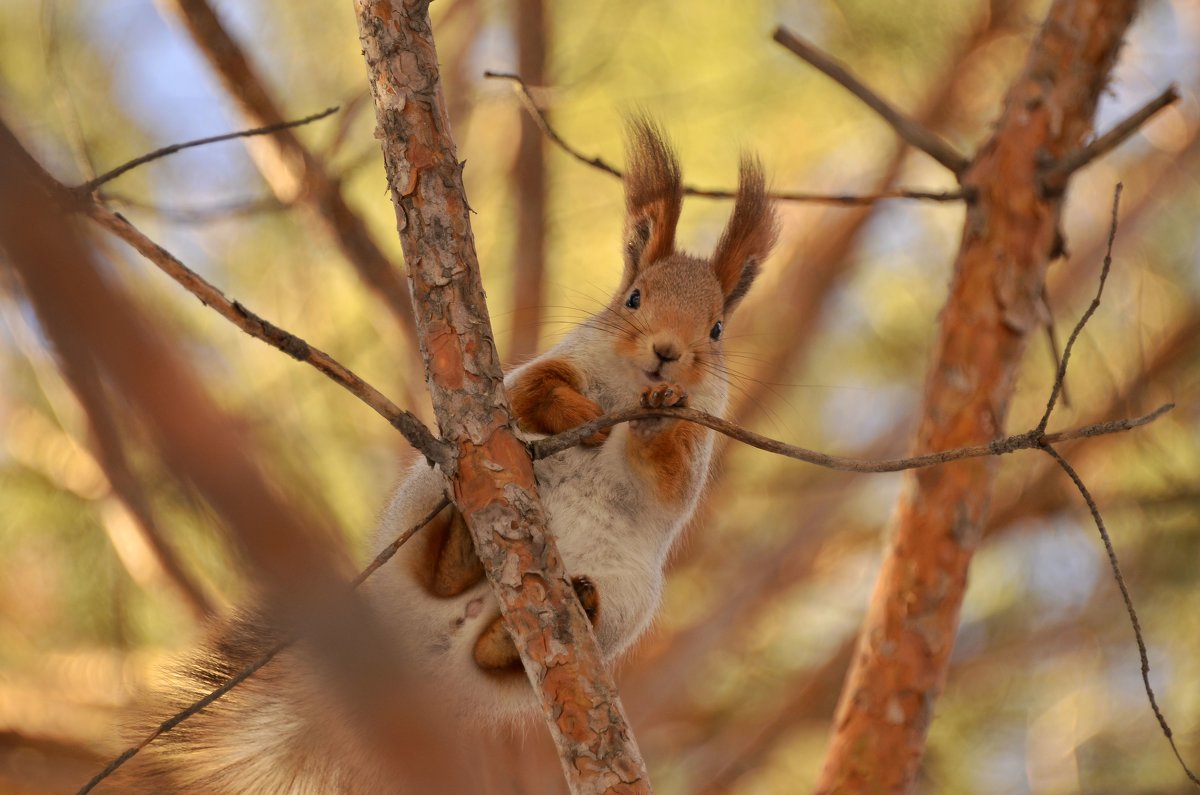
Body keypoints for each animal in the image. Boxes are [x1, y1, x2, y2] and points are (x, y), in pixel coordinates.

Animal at [112, 120, 777, 795]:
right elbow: (532, 393)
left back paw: (533, 621)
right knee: (436, 561)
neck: (625, 390)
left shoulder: (697, 446)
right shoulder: (541, 370)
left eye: (717, 330)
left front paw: (661, 412)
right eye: (634, 299)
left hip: (626, 605)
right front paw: (580, 416)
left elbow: (671, 477)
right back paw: (455, 550)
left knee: (503, 653)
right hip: (426, 491)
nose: (667, 353)